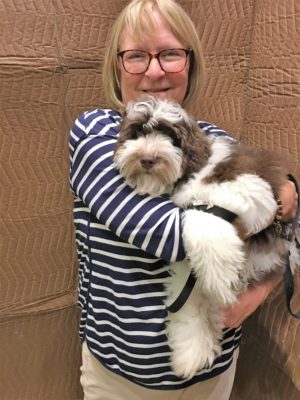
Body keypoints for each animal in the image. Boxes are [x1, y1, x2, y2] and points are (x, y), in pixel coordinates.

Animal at [113, 96, 300, 378]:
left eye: (170, 137)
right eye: (136, 133)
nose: (146, 159)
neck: (193, 168)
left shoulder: (251, 187)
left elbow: (204, 214)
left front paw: (220, 277)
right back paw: (191, 354)